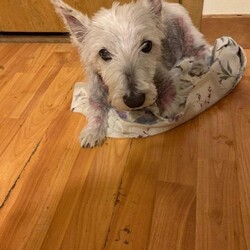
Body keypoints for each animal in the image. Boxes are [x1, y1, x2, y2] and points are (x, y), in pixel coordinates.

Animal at [52, 0, 211, 147]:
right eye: (103, 53)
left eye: (147, 45)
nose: (134, 100)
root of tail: (169, 4)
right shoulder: (96, 92)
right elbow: (96, 110)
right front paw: (92, 132)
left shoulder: (164, 74)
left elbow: (170, 92)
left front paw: (167, 111)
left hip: (187, 34)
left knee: (202, 48)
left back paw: (199, 66)